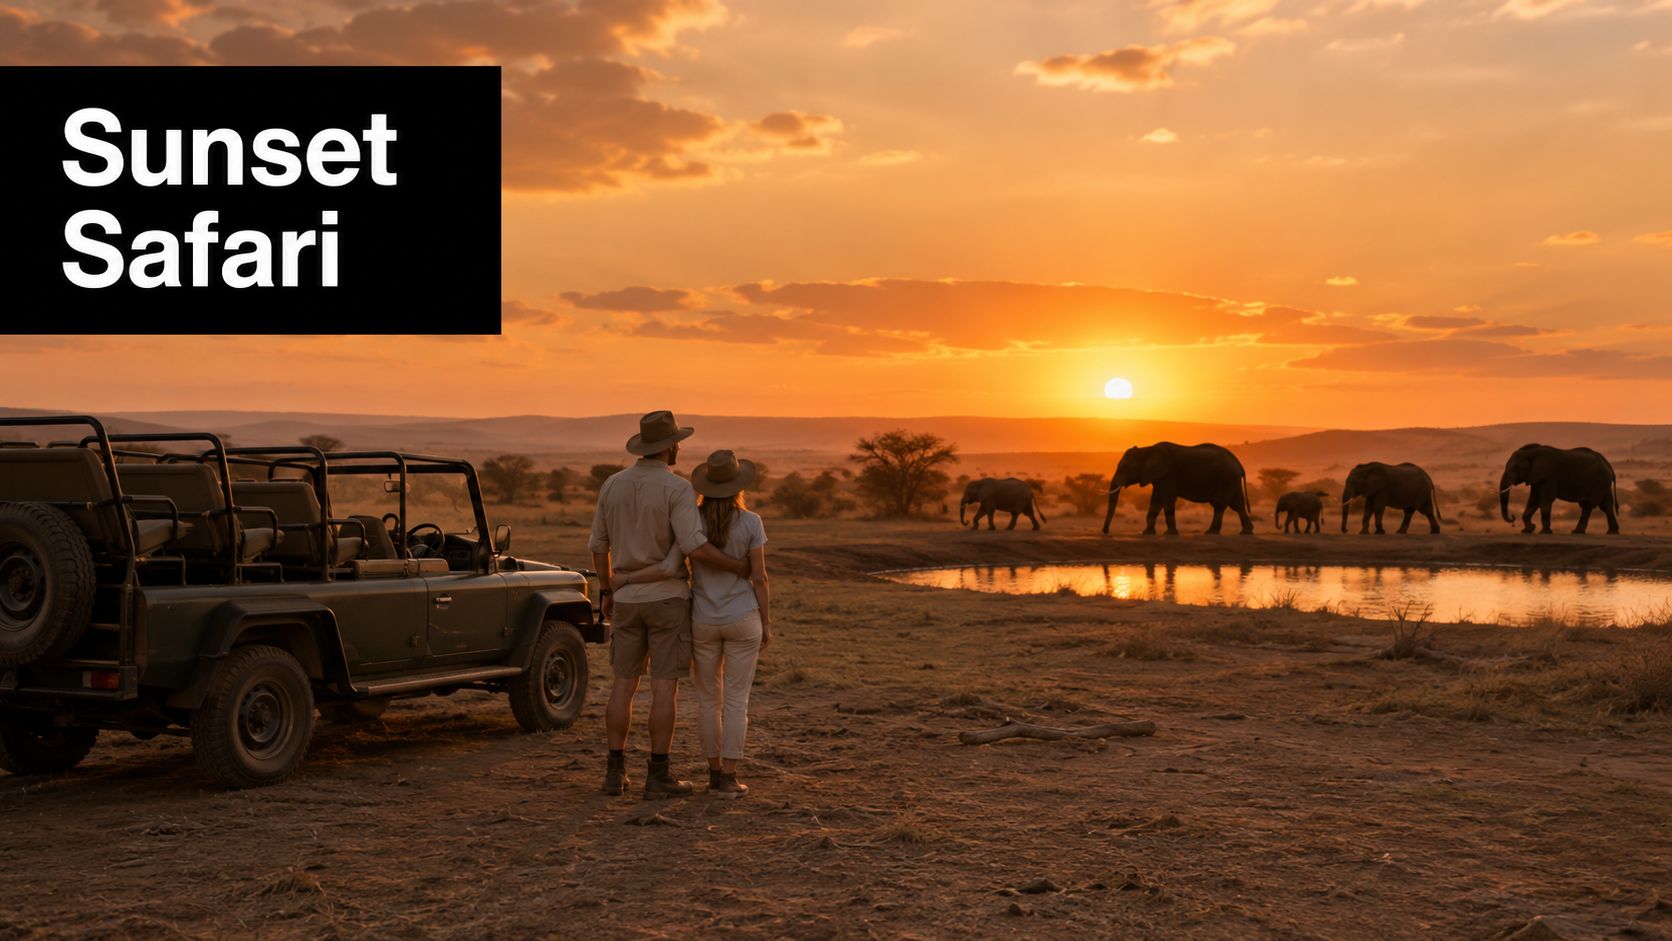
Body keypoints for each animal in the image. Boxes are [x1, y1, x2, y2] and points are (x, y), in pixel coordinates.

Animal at [1101, 442, 1254, 536]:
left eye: (1124, 468)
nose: (1105, 531)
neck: (1148, 450)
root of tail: (1239, 464)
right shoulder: (1159, 477)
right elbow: (1155, 502)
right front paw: (1147, 533)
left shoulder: (1169, 474)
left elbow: (1167, 500)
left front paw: (1170, 534)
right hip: (1231, 480)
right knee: (1237, 504)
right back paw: (1245, 532)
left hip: (1226, 478)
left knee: (1220, 505)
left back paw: (1211, 532)